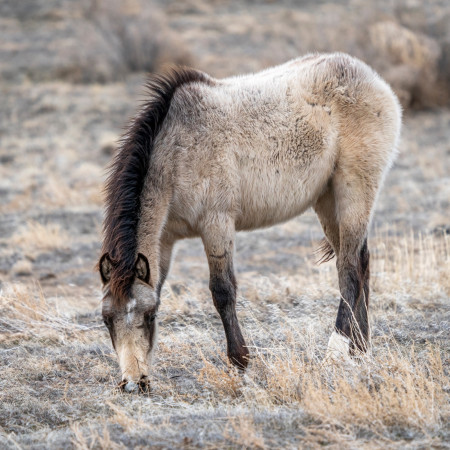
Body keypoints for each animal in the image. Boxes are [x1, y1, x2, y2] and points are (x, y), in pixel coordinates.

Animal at [97, 51, 400, 390]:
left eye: (148, 316)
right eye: (107, 320)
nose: (133, 383)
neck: (176, 151)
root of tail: (368, 75)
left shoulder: (216, 223)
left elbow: (222, 290)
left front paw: (240, 361)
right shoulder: (165, 239)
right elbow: (161, 286)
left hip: (354, 191)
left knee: (349, 271)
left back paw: (335, 352)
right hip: (327, 200)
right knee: (361, 262)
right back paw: (360, 349)